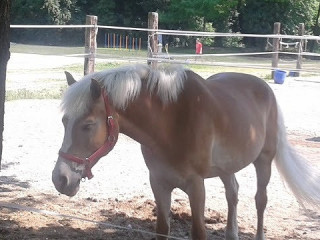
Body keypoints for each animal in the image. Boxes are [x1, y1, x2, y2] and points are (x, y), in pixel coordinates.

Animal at [52, 64, 320, 240]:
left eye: (88, 125)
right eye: (64, 121)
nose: (60, 179)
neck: (170, 123)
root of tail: (266, 88)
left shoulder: (196, 185)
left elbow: (198, 232)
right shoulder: (159, 183)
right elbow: (162, 229)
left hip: (264, 161)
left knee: (260, 200)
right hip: (227, 167)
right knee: (232, 194)